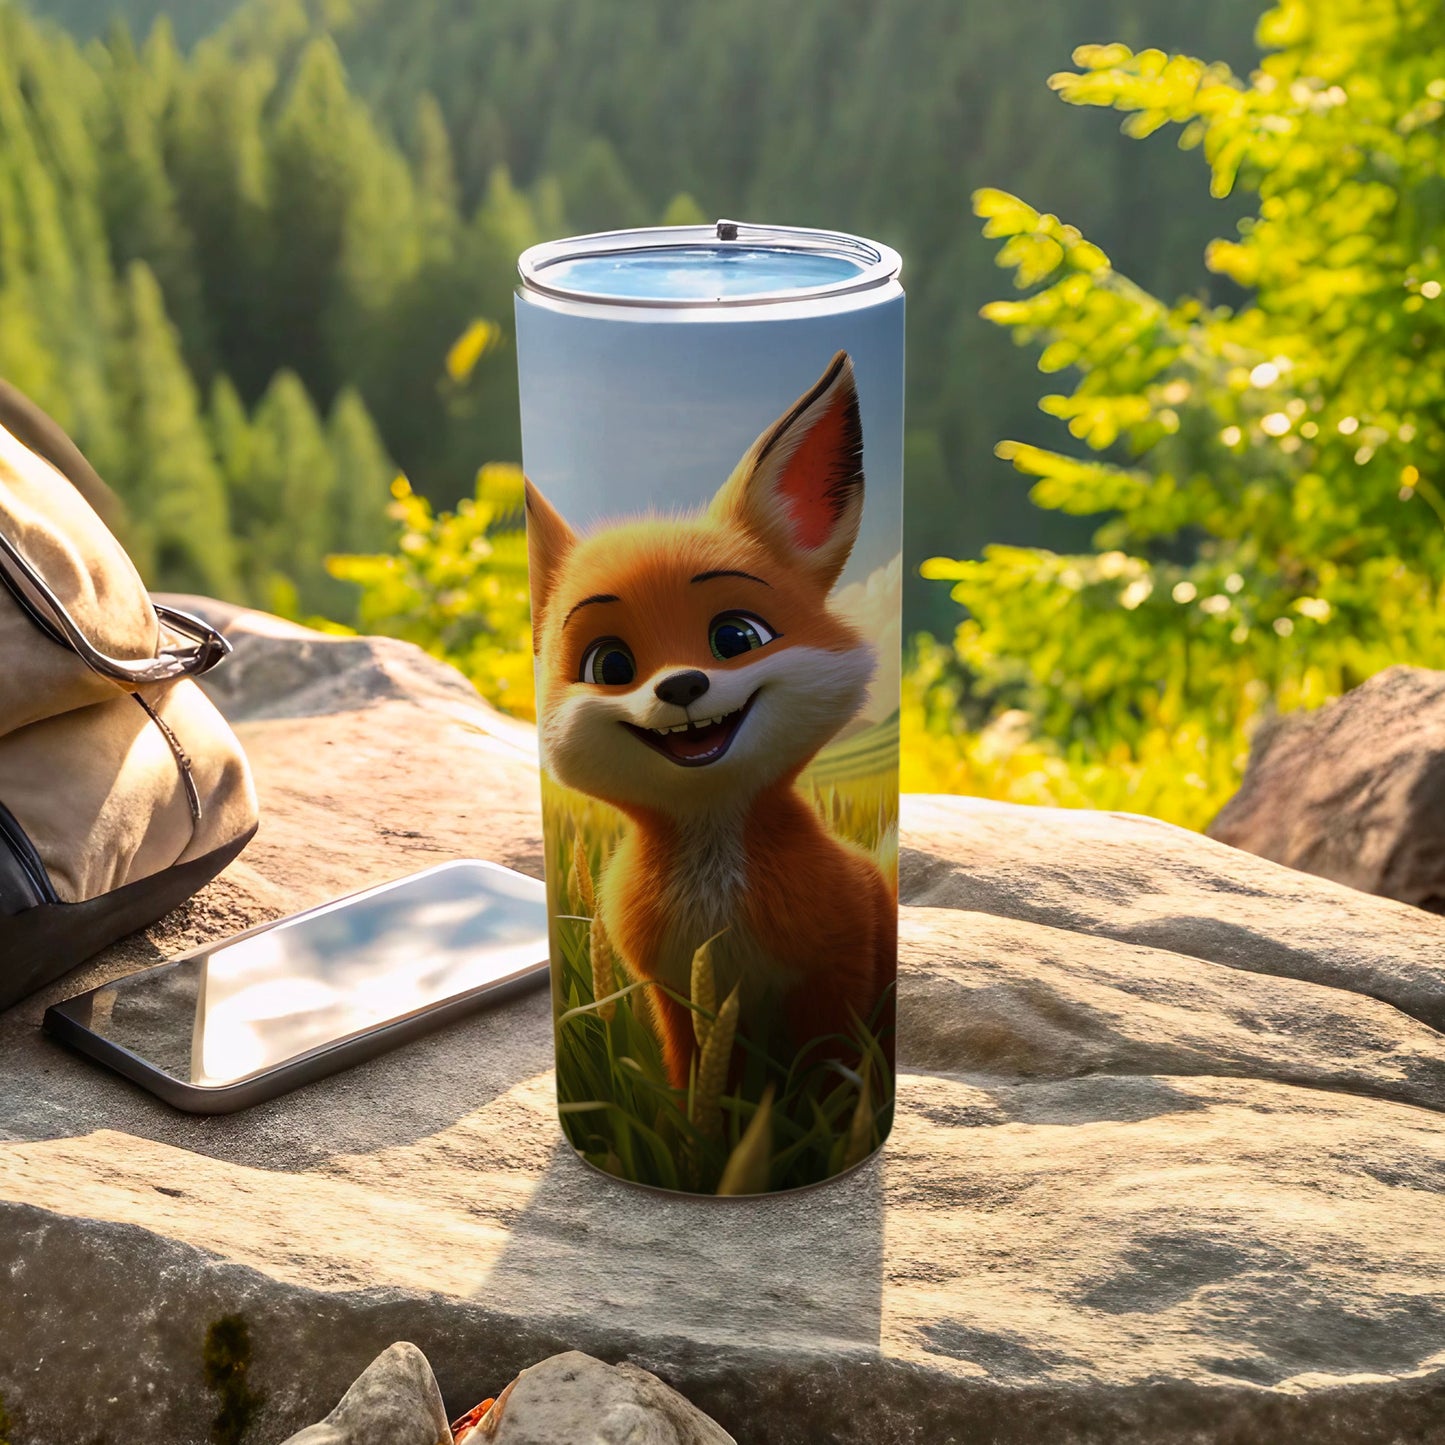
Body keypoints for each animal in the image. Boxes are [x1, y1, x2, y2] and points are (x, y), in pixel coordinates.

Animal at [525, 350, 896, 1090]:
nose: (681, 685)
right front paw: (696, 1119)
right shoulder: (674, 993)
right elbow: (694, 1086)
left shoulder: (833, 974)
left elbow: (829, 1078)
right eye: (610, 664)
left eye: (736, 637)